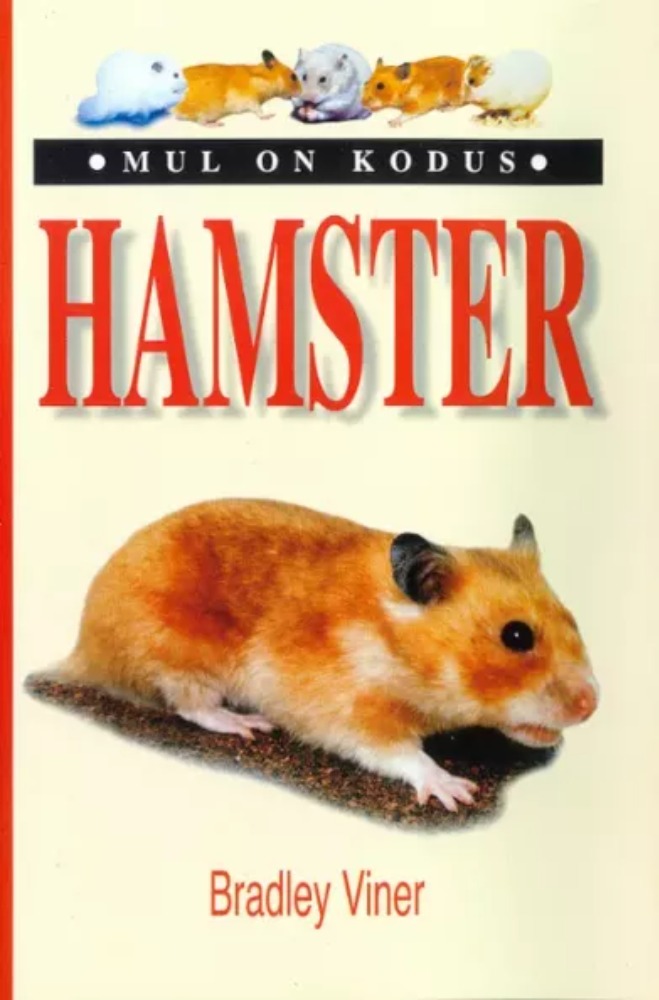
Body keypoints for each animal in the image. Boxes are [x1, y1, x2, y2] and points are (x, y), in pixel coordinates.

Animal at [59, 500, 598, 812]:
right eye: (516, 636)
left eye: (572, 618)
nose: (591, 706)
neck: (391, 640)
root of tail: (80, 649)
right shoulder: (349, 710)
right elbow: (400, 753)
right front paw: (457, 791)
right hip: (177, 656)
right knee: (192, 707)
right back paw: (247, 724)